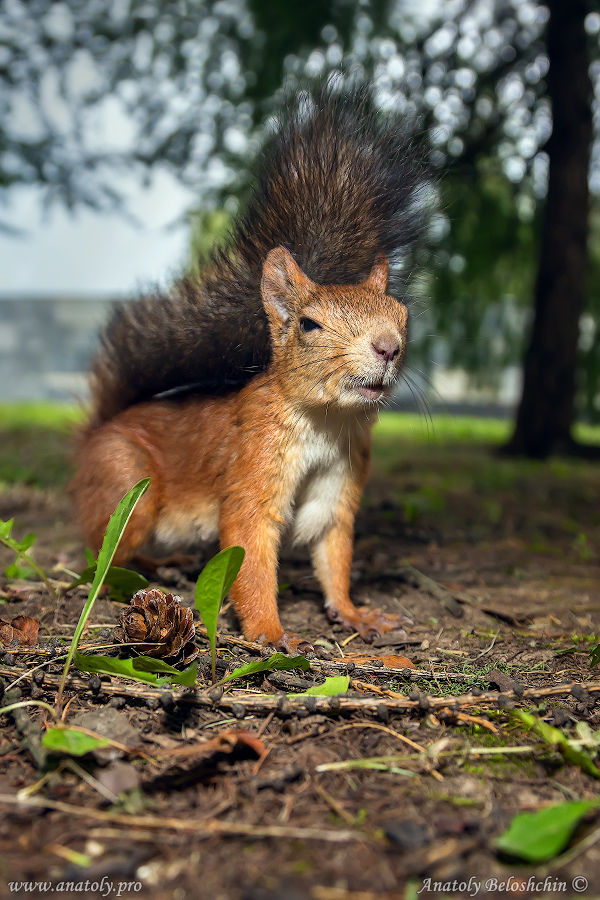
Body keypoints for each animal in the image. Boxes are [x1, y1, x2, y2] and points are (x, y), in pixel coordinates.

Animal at [71, 83, 425, 653]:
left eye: (402, 316)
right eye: (309, 325)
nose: (388, 347)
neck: (326, 421)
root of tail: (97, 431)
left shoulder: (338, 486)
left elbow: (333, 556)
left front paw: (356, 614)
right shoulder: (252, 467)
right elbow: (251, 554)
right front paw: (270, 632)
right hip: (127, 486)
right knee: (106, 552)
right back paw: (149, 568)